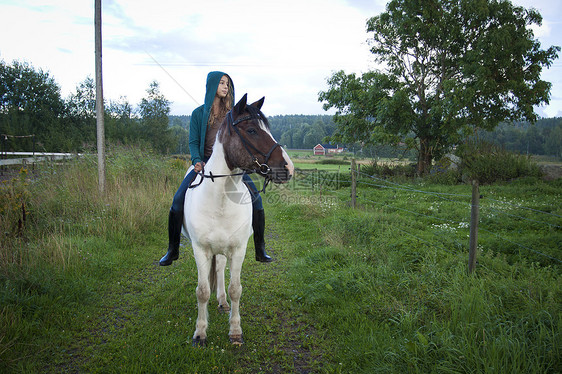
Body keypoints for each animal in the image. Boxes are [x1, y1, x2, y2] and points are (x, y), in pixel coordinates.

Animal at [183, 95, 294, 346]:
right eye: (252, 130)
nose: (288, 168)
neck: (220, 200)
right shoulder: (200, 249)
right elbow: (202, 291)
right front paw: (200, 333)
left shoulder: (238, 249)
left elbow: (235, 289)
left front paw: (235, 331)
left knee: (221, 269)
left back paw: (222, 301)